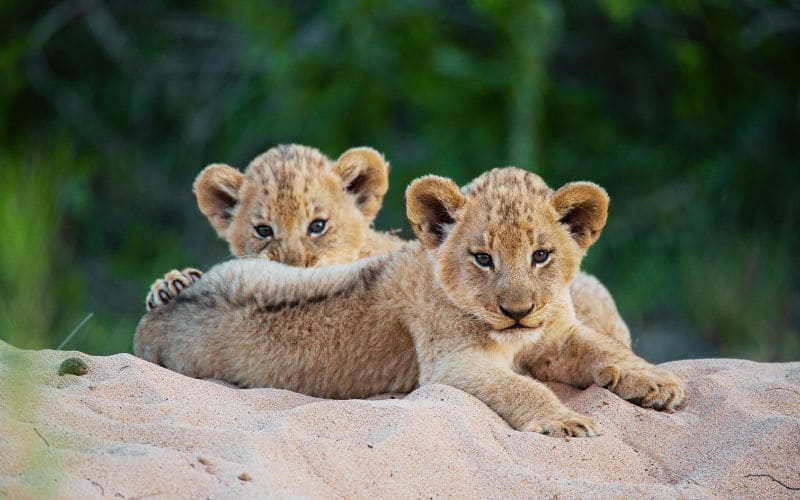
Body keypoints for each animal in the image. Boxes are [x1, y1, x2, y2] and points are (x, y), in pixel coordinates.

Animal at [135, 167, 684, 437]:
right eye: (482, 258)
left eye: (541, 255)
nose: (517, 311)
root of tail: (154, 322)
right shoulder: (451, 365)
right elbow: (520, 388)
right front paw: (564, 421)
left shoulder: (558, 333)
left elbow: (605, 350)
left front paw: (658, 384)